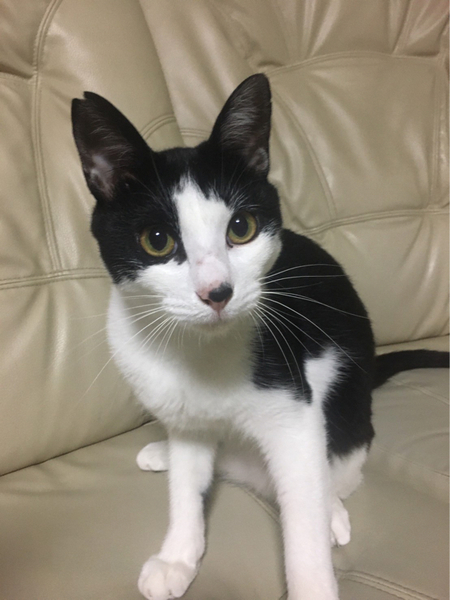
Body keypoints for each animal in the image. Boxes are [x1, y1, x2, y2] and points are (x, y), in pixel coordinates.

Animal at [72, 74, 449, 600]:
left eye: (241, 228)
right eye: (157, 240)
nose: (217, 293)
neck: (201, 352)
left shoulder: (293, 413)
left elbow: (302, 519)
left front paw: (313, 573)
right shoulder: (184, 413)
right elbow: (187, 485)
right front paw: (177, 555)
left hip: (343, 399)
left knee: (337, 466)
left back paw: (330, 507)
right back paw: (166, 452)